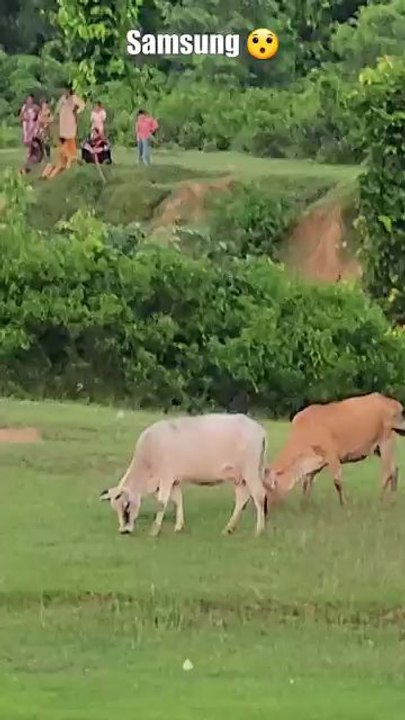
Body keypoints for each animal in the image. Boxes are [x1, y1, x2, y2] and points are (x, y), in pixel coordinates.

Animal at [100, 413, 268, 537]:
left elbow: (162, 503)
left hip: (250, 470)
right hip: (239, 476)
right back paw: (229, 528)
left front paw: (155, 530)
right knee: (242, 498)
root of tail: (258, 429)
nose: (124, 531)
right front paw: (178, 526)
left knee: (259, 495)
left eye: (126, 507)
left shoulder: (166, 477)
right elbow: (178, 501)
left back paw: (259, 530)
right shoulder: (175, 480)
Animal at [264, 393, 405, 507]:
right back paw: (392, 501)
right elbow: (307, 483)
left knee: (390, 471)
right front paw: (304, 505)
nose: (267, 506)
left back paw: (380, 500)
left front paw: (344, 505)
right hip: (378, 448)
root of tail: (394, 403)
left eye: (270, 487)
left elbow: (337, 482)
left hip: (386, 441)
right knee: (395, 469)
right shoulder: (314, 463)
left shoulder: (332, 456)